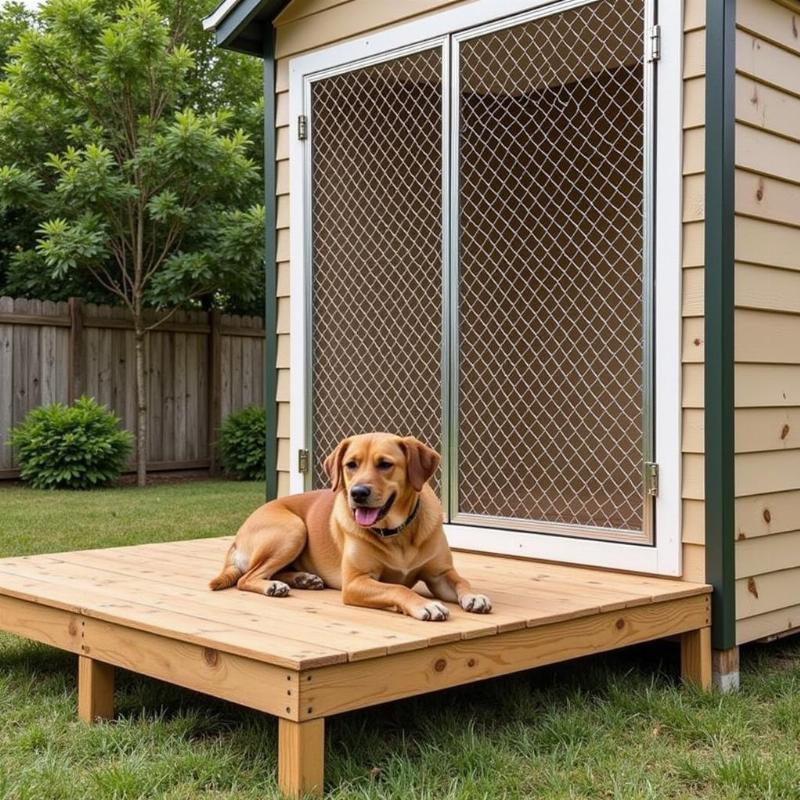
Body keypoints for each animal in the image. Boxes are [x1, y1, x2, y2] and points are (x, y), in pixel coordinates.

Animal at [209, 434, 490, 620]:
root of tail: (238, 536)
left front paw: (474, 596)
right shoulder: (355, 582)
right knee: (247, 577)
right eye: (351, 464)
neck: (397, 533)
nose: (358, 493)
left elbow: (461, 581)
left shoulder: (440, 574)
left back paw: (302, 578)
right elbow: (396, 587)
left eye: (385, 464)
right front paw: (425, 604)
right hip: (293, 529)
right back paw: (274, 586)